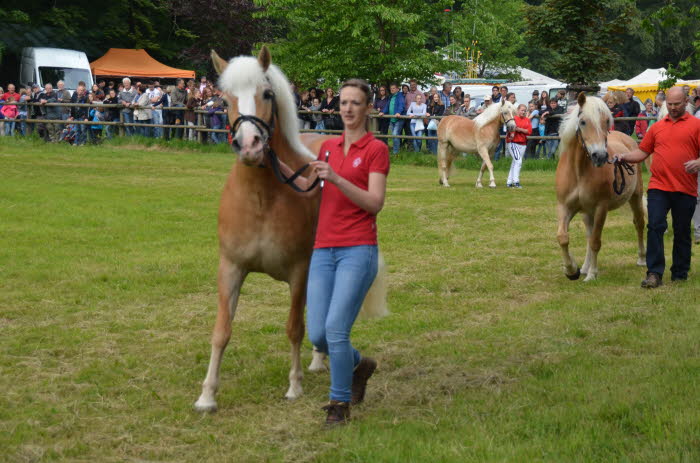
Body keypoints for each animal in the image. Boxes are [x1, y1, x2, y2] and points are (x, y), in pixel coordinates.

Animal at [193, 47, 388, 414]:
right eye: (225, 99)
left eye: (267, 94)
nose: (250, 145)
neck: (262, 197)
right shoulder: (230, 268)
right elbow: (221, 330)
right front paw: (207, 395)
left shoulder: (299, 271)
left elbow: (295, 328)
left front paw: (294, 386)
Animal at [552, 93, 644, 282]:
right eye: (583, 122)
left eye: (606, 122)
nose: (600, 156)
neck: (578, 172)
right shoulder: (565, 207)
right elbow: (563, 237)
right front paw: (572, 270)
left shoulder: (601, 208)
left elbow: (595, 241)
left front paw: (592, 274)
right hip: (587, 212)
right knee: (588, 234)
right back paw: (585, 267)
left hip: (635, 197)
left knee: (639, 223)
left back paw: (641, 259)